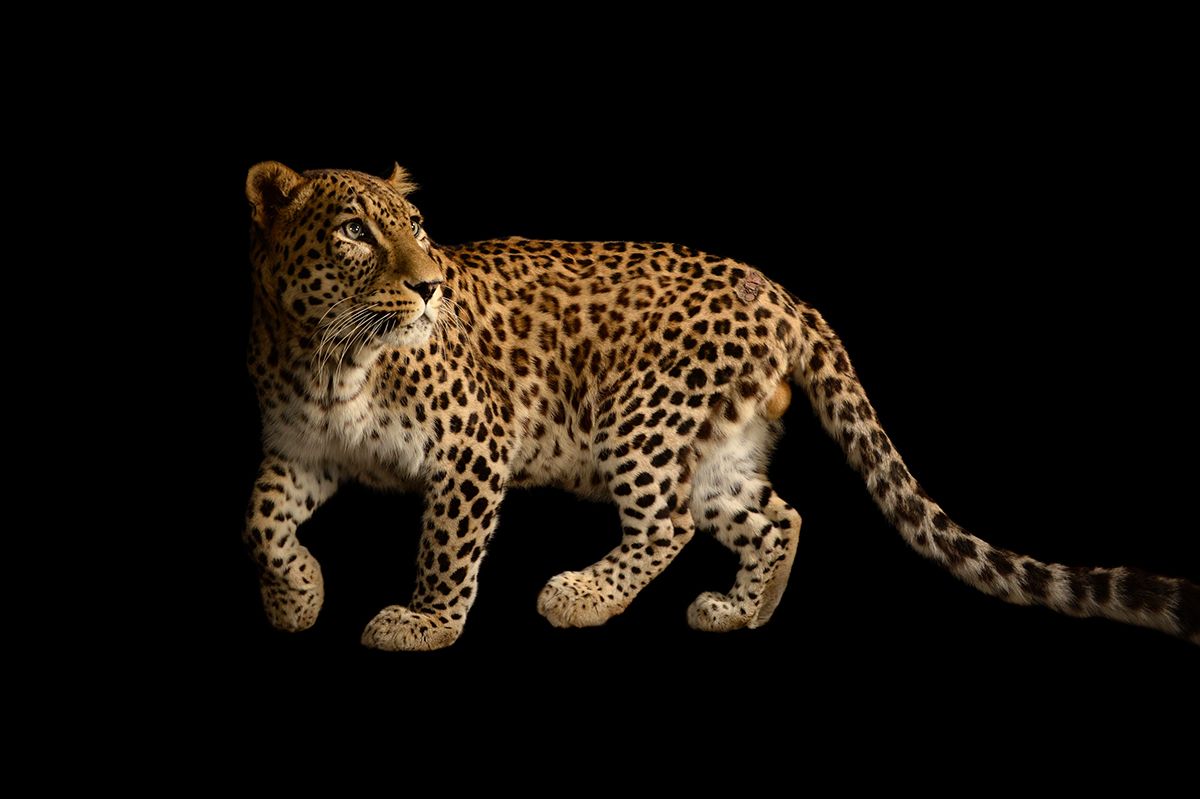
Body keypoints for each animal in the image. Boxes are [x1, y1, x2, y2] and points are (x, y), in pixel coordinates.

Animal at [242, 160, 1198, 650]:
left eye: (415, 226)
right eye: (355, 231)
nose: (431, 283)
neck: (325, 355)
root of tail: (780, 291)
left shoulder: (474, 443)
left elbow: (447, 544)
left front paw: (425, 622)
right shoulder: (299, 449)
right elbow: (258, 522)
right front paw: (297, 597)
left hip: (644, 413)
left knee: (666, 523)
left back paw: (583, 595)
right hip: (716, 444)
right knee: (779, 514)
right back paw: (745, 610)